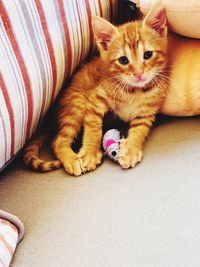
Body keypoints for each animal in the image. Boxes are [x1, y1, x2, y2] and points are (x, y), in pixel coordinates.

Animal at [23, 4, 169, 176]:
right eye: (123, 60)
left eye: (147, 54)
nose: (139, 74)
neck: (135, 91)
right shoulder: (96, 98)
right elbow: (93, 127)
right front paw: (90, 152)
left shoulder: (147, 111)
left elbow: (139, 130)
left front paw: (131, 150)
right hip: (76, 104)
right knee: (58, 140)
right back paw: (71, 159)